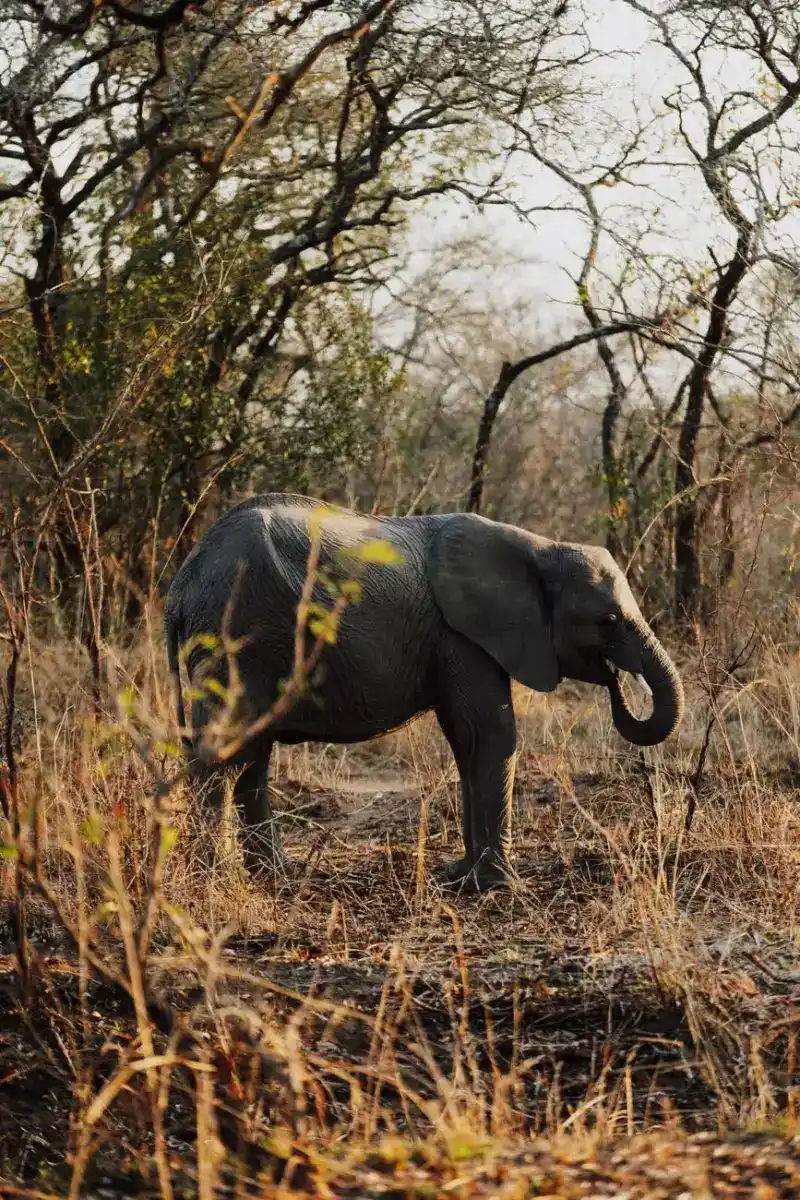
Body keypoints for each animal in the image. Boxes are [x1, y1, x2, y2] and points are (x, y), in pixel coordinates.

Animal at [164, 493, 684, 892]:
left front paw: (460, 877)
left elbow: (466, 739)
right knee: (228, 753)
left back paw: (274, 877)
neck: (539, 547)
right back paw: (219, 881)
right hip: (238, 633)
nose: (620, 681)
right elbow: (488, 734)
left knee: (250, 754)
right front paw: (497, 888)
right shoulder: (461, 634)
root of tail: (180, 586)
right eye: (608, 621)